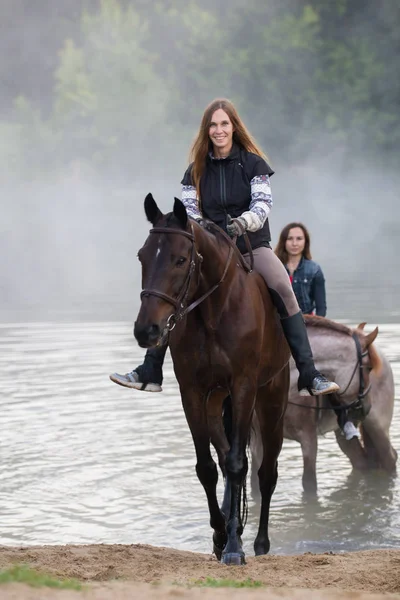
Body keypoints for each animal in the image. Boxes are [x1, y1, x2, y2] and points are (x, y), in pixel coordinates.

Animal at [134, 195, 290, 564]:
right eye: (142, 256)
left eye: (180, 259)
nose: (146, 330)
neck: (214, 312)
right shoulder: (193, 391)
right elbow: (208, 467)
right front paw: (221, 536)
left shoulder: (244, 387)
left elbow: (237, 465)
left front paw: (234, 547)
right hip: (219, 402)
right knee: (228, 457)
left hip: (271, 402)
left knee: (265, 472)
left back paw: (259, 544)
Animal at [250, 316, 396, 494]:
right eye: (368, 368)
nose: (366, 408)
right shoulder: (256, 442)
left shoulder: (308, 438)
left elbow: (309, 483)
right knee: (362, 461)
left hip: (377, 427)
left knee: (390, 458)